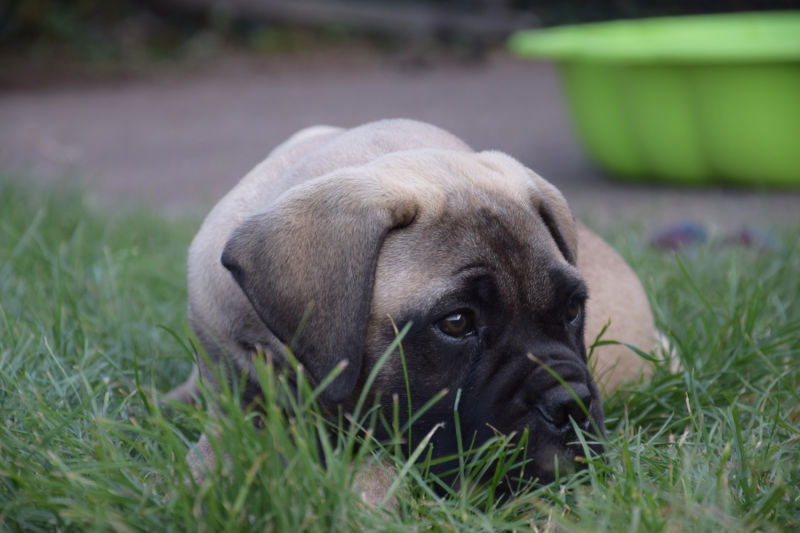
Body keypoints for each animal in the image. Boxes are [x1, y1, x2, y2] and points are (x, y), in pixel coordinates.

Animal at [168, 119, 655, 500]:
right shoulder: (233, 401)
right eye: (455, 323)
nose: (572, 403)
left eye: (572, 308)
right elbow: (212, 455)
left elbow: (378, 472)